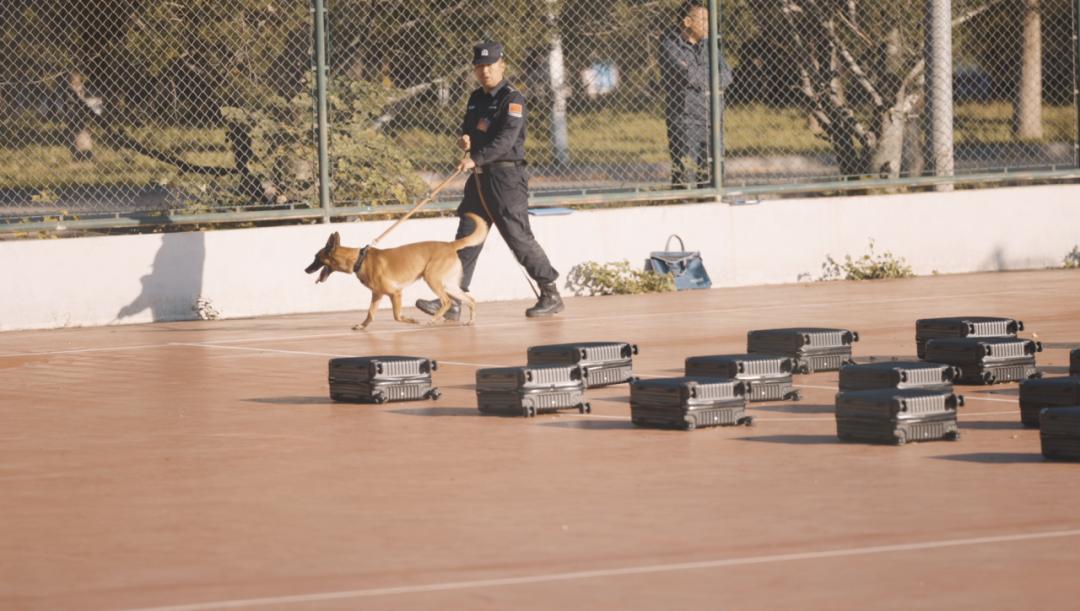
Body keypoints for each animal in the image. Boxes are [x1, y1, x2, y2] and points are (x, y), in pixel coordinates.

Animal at [306, 214, 488, 332]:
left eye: (316, 258)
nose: (305, 270)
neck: (359, 259)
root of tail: (449, 245)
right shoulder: (377, 295)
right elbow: (370, 314)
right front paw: (362, 326)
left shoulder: (396, 293)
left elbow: (397, 316)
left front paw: (411, 320)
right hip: (448, 285)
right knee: (470, 300)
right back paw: (470, 321)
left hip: (432, 279)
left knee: (446, 301)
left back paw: (433, 320)